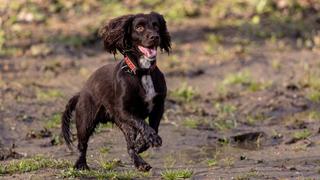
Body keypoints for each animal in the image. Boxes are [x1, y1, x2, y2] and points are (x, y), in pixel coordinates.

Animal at [60, 11, 170, 172]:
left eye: (156, 25)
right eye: (139, 27)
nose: (155, 37)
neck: (142, 72)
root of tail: (81, 92)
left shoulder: (158, 107)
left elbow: (151, 128)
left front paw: (142, 143)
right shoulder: (124, 110)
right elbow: (143, 124)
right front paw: (151, 138)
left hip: (123, 124)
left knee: (129, 145)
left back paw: (140, 163)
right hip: (85, 120)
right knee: (82, 145)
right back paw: (81, 164)